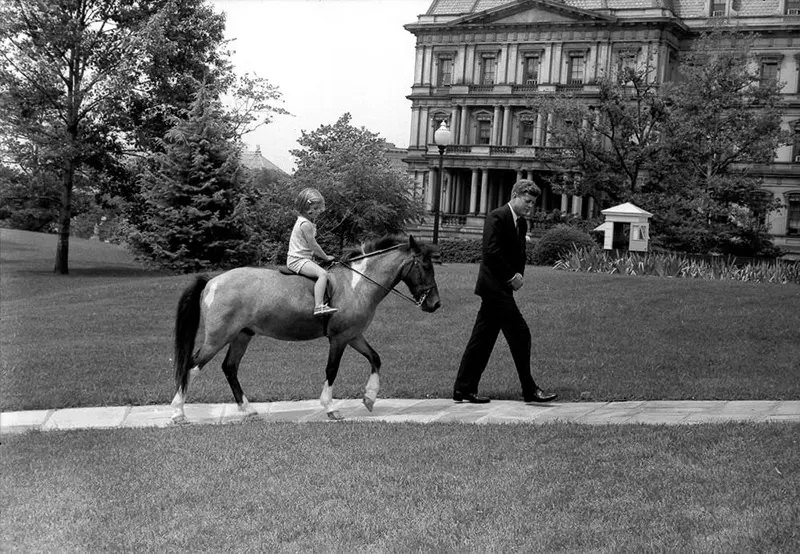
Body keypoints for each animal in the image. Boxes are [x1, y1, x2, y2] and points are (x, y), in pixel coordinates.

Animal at [171, 232, 440, 418]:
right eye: (426, 266)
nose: (435, 304)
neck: (357, 283)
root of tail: (212, 281)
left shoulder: (353, 335)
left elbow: (375, 358)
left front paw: (370, 398)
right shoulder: (339, 339)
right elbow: (331, 370)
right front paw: (330, 407)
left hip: (242, 335)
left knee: (229, 368)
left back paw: (247, 410)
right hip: (218, 337)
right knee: (191, 367)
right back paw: (177, 412)